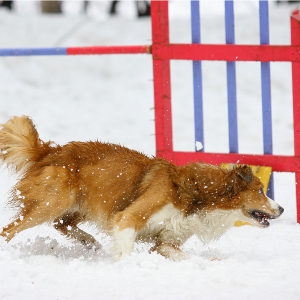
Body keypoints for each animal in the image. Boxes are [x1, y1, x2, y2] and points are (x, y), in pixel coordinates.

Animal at [0, 116, 284, 260]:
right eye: (260, 191)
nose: (281, 208)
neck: (195, 194)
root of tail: (50, 151)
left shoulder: (165, 242)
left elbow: (184, 256)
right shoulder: (128, 217)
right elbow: (126, 248)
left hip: (83, 203)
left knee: (62, 224)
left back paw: (88, 240)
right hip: (53, 202)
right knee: (10, 229)